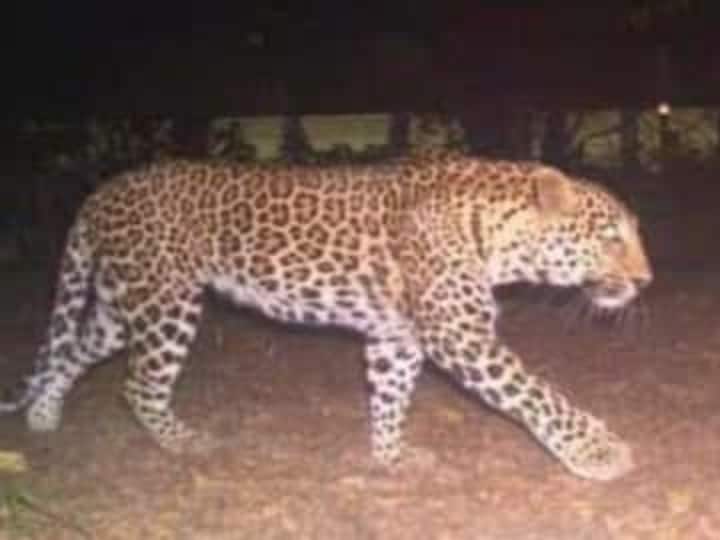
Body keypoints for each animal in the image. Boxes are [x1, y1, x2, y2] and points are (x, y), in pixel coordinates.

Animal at [0, 153, 652, 481]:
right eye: (611, 238)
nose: (647, 280)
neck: (501, 237)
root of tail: (100, 192)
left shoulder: (397, 335)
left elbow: (390, 396)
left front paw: (390, 457)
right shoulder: (460, 335)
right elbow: (538, 393)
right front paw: (597, 453)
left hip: (119, 304)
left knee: (70, 351)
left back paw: (43, 418)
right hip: (167, 301)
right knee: (138, 384)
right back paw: (184, 442)